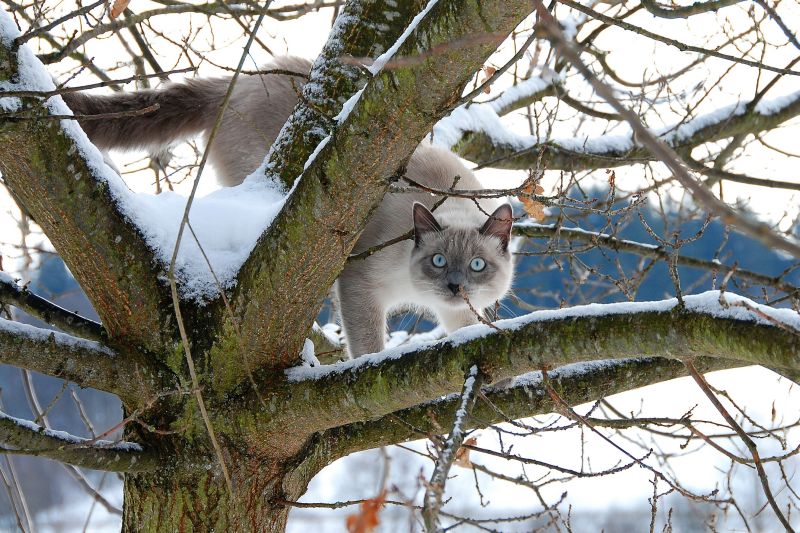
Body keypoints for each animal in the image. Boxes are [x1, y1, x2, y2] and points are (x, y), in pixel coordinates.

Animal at [61, 56, 512, 358]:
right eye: (438, 261)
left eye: (477, 266)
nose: (454, 286)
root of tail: (241, 81)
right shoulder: (360, 284)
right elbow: (367, 345)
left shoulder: (459, 315)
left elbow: (468, 329)